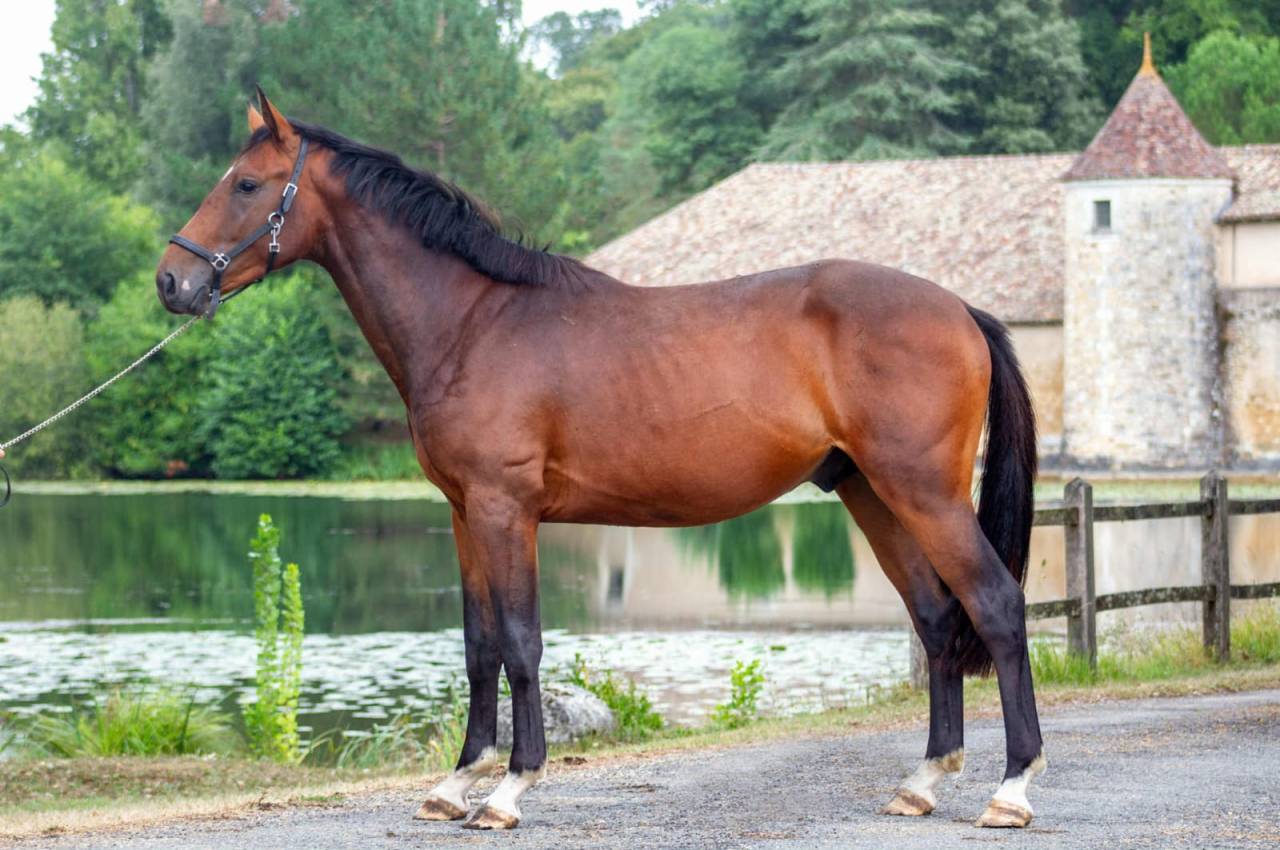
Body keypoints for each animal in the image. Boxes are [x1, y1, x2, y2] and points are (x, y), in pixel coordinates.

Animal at [157, 89, 1044, 831]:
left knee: (996, 605)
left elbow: (520, 644)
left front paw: (510, 790)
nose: (171, 281)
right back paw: (922, 783)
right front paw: (455, 783)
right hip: (872, 494)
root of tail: (958, 308)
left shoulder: (506, 509)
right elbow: (478, 646)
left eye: (246, 184)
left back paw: (1010, 790)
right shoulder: (463, 514)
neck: (473, 322)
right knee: (936, 617)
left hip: (924, 493)